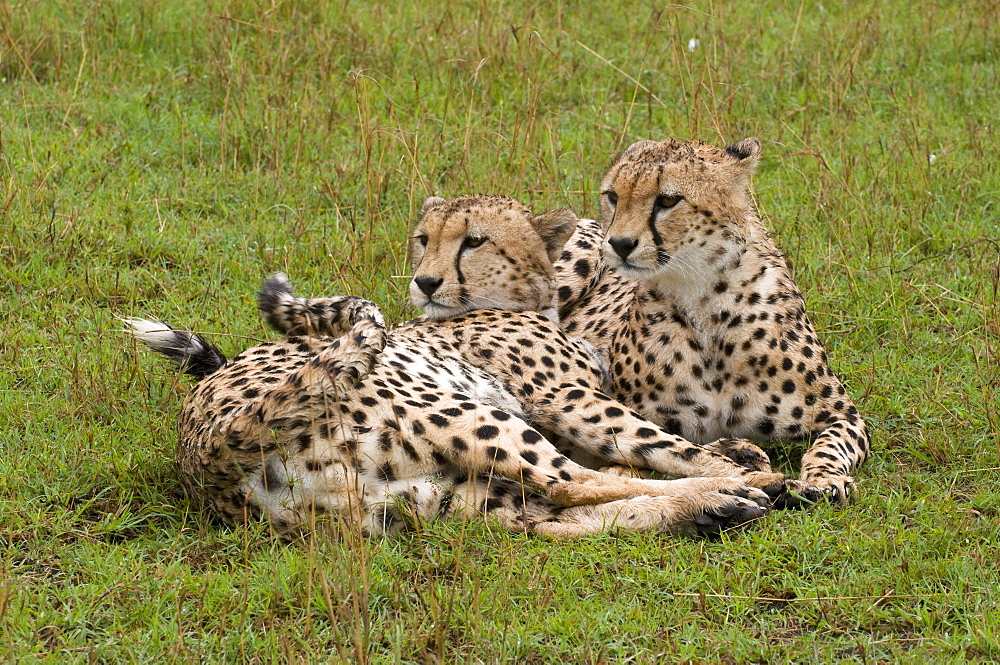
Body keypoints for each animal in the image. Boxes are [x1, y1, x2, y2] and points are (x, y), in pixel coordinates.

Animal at [123, 193, 788, 540]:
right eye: (424, 238)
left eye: (475, 240)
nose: (425, 280)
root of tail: (202, 450)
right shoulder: (565, 398)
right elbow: (657, 444)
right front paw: (734, 464)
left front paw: (737, 452)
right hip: (462, 415)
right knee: (574, 484)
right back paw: (735, 490)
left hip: (420, 497)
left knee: (548, 517)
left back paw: (713, 505)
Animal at [556, 139, 868, 504]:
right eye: (613, 196)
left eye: (667, 200)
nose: (619, 244)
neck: (706, 301)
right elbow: (652, 451)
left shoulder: (842, 413)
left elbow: (832, 445)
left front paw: (824, 478)